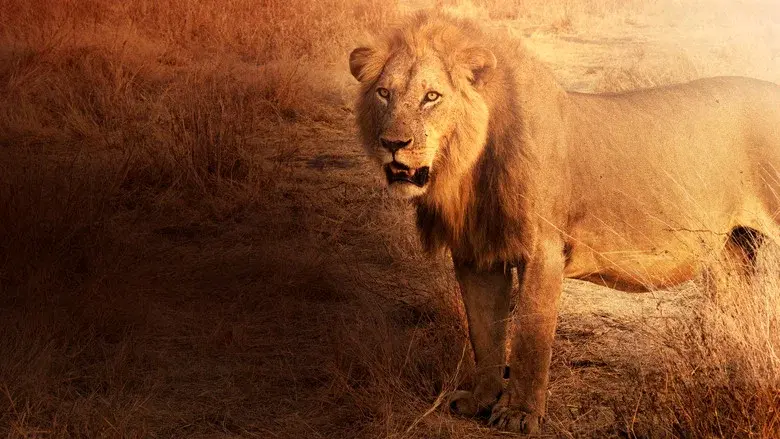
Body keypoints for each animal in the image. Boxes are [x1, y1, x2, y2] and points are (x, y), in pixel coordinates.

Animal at [349, 12, 780, 434]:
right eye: (384, 93)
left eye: (431, 97)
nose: (393, 144)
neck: (468, 167)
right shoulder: (477, 253)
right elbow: (484, 331)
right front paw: (480, 401)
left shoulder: (543, 249)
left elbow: (529, 337)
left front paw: (519, 414)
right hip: (734, 249)